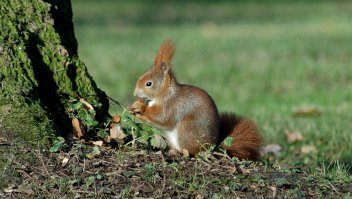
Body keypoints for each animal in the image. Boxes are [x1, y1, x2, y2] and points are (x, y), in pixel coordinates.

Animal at [129, 39, 262, 161]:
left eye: (149, 84)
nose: (135, 93)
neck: (164, 93)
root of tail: (212, 146)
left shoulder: (172, 104)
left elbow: (162, 117)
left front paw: (140, 108)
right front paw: (134, 106)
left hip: (188, 130)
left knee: (192, 152)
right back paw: (172, 151)